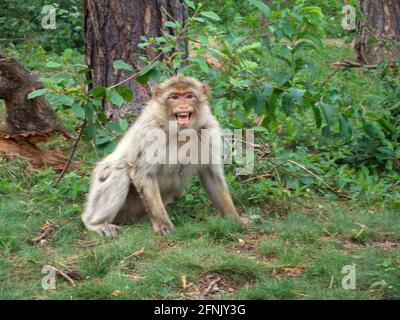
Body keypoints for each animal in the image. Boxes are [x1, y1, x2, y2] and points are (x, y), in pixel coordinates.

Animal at [81, 74, 245, 236]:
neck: (179, 132)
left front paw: (234, 218)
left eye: (189, 96)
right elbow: (143, 174)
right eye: (175, 97)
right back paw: (95, 223)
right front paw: (163, 224)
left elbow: (211, 174)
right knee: (119, 169)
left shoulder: (209, 129)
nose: (183, 106)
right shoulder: (150, 132)